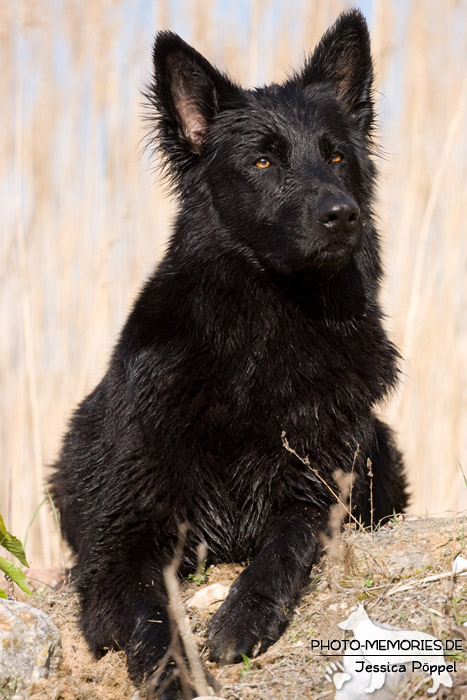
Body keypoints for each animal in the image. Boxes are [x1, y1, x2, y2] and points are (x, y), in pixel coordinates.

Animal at [50, 8, 410, 696]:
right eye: (264, 161)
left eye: (335, 154)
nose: (342, 214)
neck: (261, 339)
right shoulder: (122, 540)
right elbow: (148, 618)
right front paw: (174, 676)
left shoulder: (323, 490)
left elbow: (288, 540)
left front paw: (244, 616)